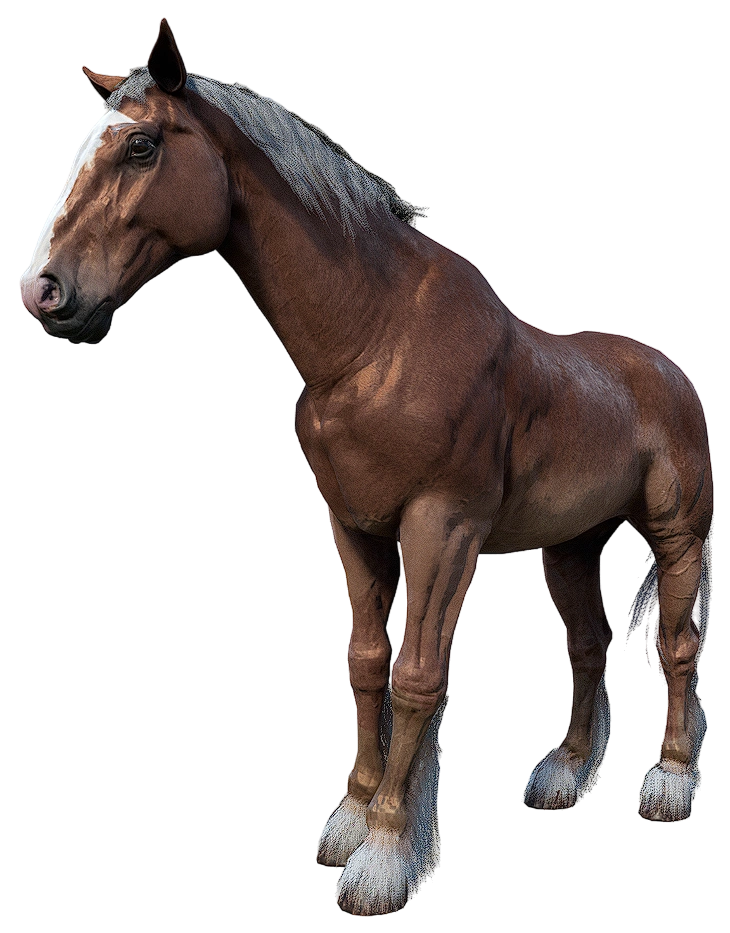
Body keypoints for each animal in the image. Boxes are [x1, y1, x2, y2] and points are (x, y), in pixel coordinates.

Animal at [19, 16, 713, 912]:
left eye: (140, 145)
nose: (44, 293)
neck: (375, 340)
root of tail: (671, 375)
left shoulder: (441, 529)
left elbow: (418, 675)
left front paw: (382, 857)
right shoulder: (353, 526)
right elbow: (369, 663)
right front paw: (350, 821)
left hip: (678, 537)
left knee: (678, 645)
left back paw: (669, 782)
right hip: (571, 545)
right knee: (589, 648)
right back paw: (563, 775)